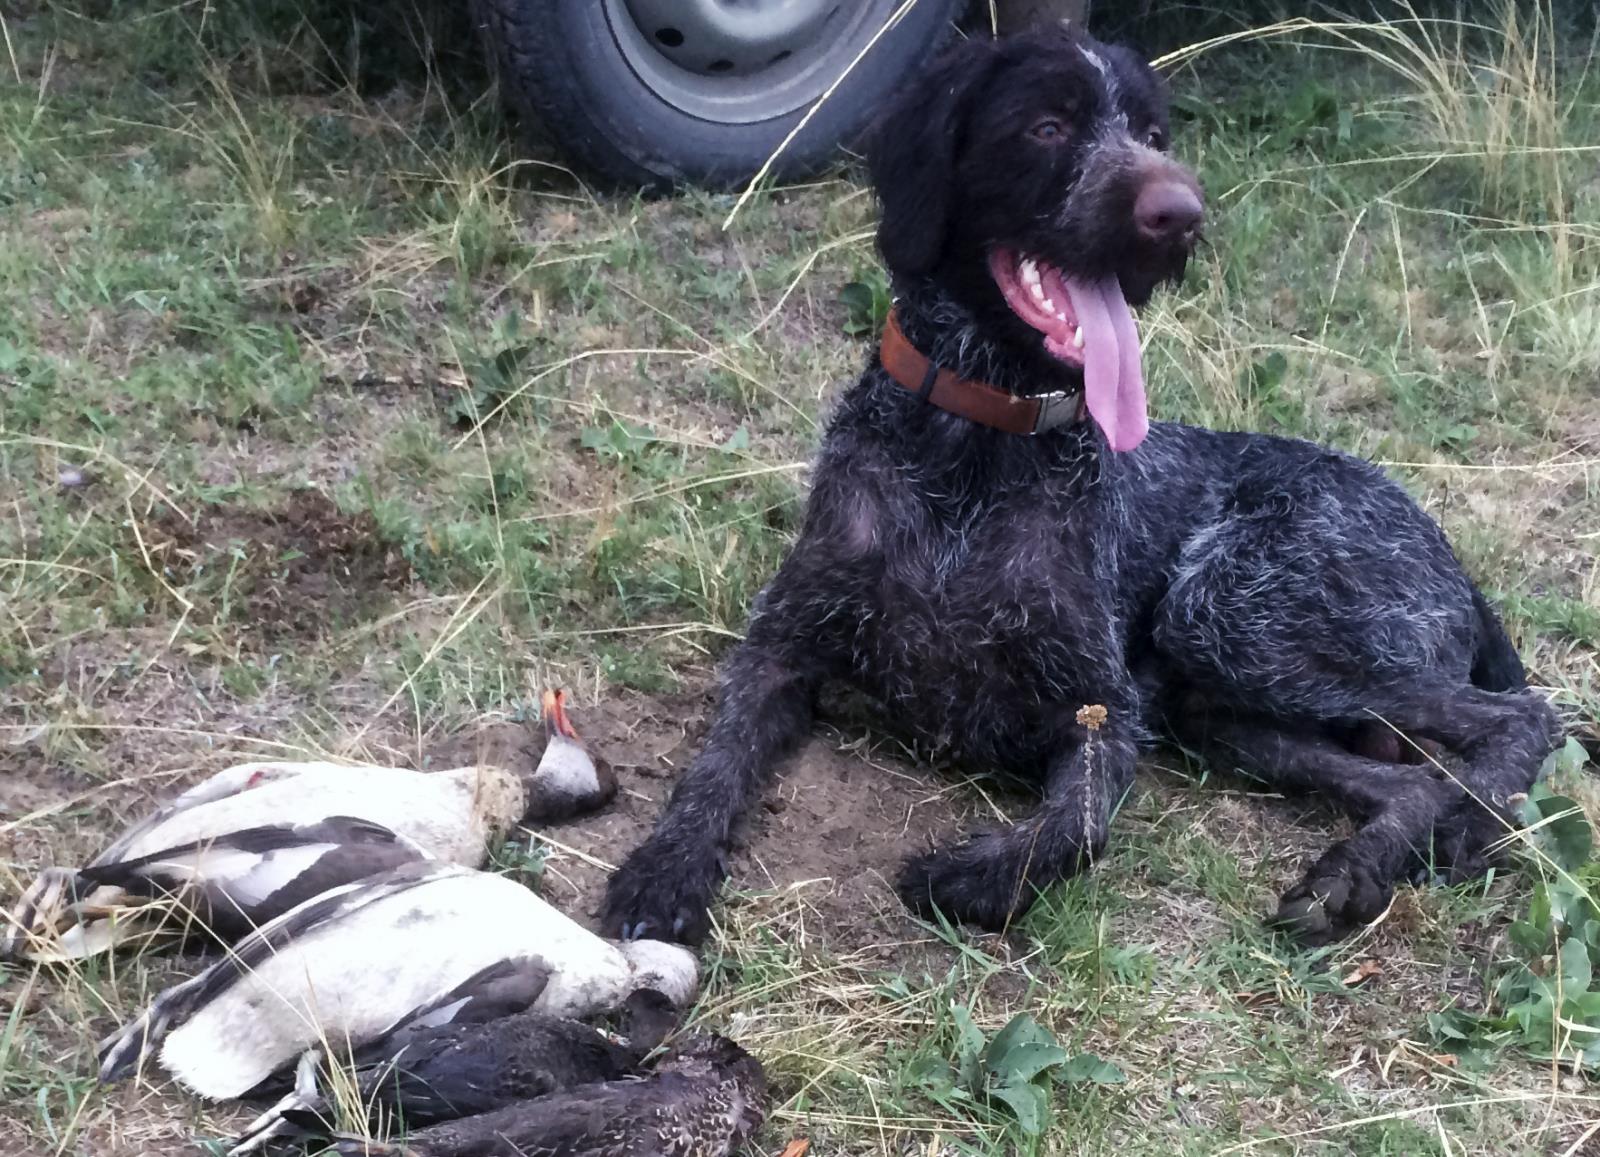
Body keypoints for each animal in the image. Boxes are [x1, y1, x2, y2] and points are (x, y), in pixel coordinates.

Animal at [601, 25, 1563, 948]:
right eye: (1048, 127)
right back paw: (1356, 873)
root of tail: (1450, 553)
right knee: (1416, 780)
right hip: (1228, 705)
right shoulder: (780, 646)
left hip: (1231, 609)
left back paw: (1460, 829)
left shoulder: (1103, 708)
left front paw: (975, 874)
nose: (1182, 215)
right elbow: (713, 764)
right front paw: (666, 868)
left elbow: (1078, 826)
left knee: (1526, 718)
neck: (975, 448)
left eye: (1153, 135)